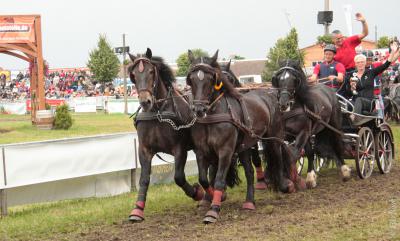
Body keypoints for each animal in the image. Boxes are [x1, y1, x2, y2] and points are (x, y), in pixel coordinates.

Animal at [127, 48, 203, 222]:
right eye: (133, 75)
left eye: (151, 71)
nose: (145, 102)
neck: (158, 112)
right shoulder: (144, 149)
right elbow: (144, 179)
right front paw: (137, 209)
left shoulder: (179, 148)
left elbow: (179, 177)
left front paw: (197, 192)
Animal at [186, 50, 292, 223]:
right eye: (192, 79)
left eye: (211, 78)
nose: (199, 109)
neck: (212, 117)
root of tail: (269, 94)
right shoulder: (202, 152)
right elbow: (204, 179)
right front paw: (213, 198)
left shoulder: (226, 151)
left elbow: (219, 179)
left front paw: (213, 210)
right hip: (244, 147)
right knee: (249, 172)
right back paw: (249, 201)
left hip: (274, 136)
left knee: (277, 156)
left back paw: (284, 185)